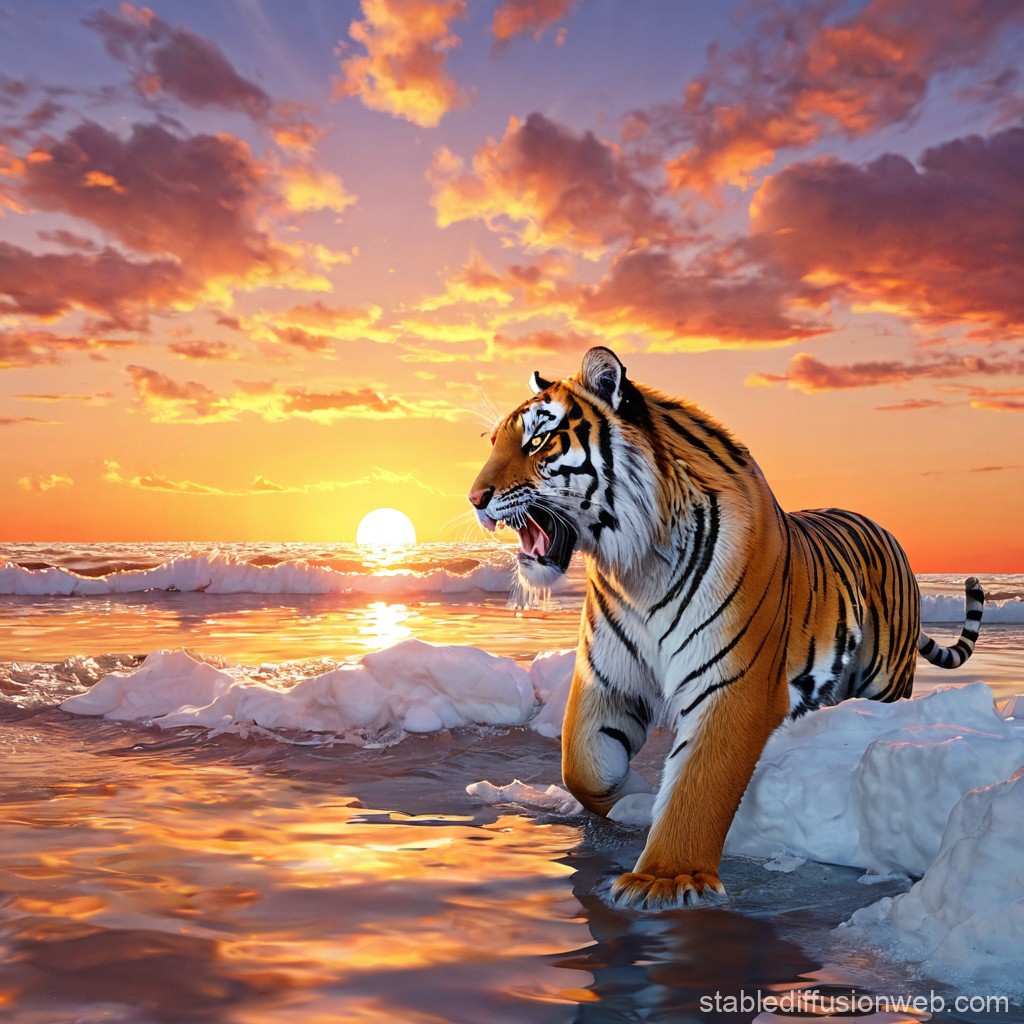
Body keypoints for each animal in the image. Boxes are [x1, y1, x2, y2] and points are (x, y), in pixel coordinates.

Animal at [469, 346, 984, 911]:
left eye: (538, 440)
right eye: (494, 443)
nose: (474, 499)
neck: (638, 566)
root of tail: (886, 530)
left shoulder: (732, 682)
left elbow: (699, 784)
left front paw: (664, 880)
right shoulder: (608, 676)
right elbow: (583, 764)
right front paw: (633, 802)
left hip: (885, 679)